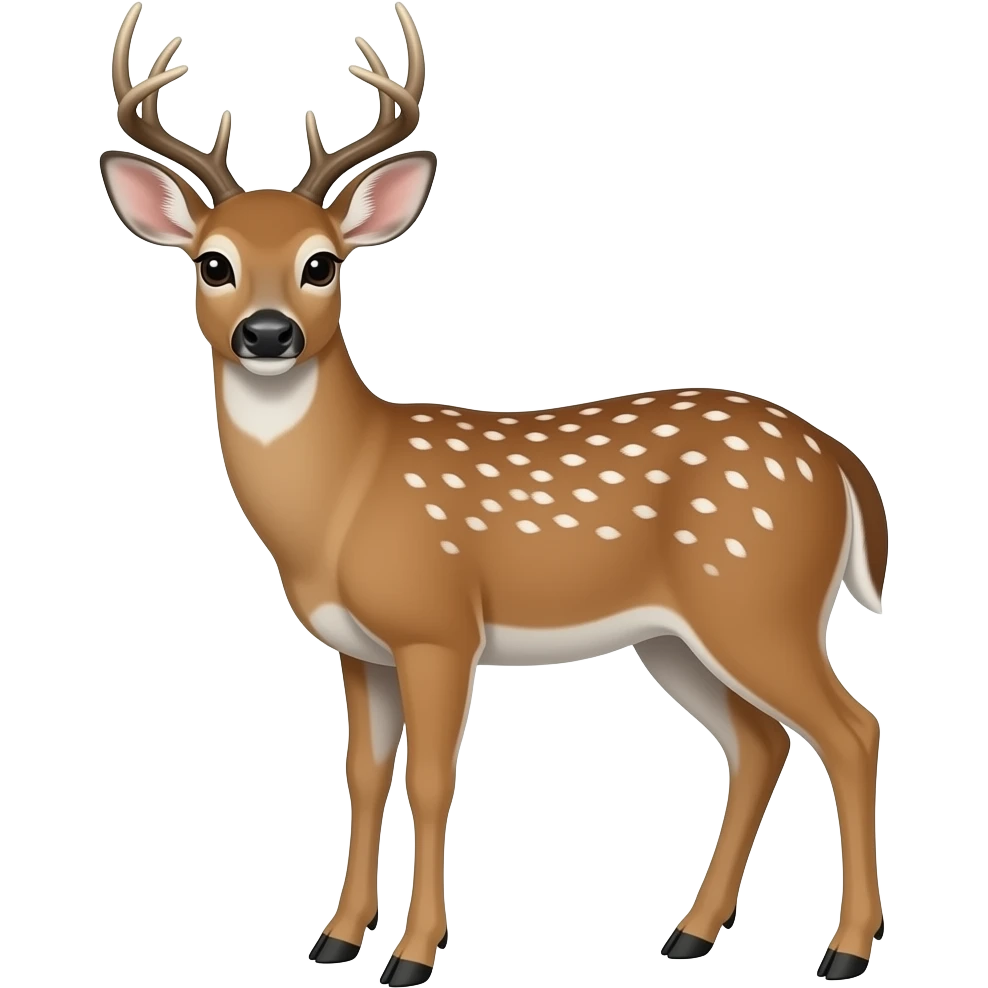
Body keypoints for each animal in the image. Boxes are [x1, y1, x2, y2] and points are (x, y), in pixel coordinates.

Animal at [100, 3, 887, 984]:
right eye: (212, 264)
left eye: (323, 264)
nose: (268, 332)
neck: (343, 499)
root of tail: (841, 461)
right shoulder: (359, 648)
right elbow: (364, 775)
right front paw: (335, 938)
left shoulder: (439, 624)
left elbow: (433, 781)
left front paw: (413, 955)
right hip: (676, 635)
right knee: (761, 741)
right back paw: (690, 933)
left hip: (759, 599)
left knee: (851, 730)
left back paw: (844, 951)